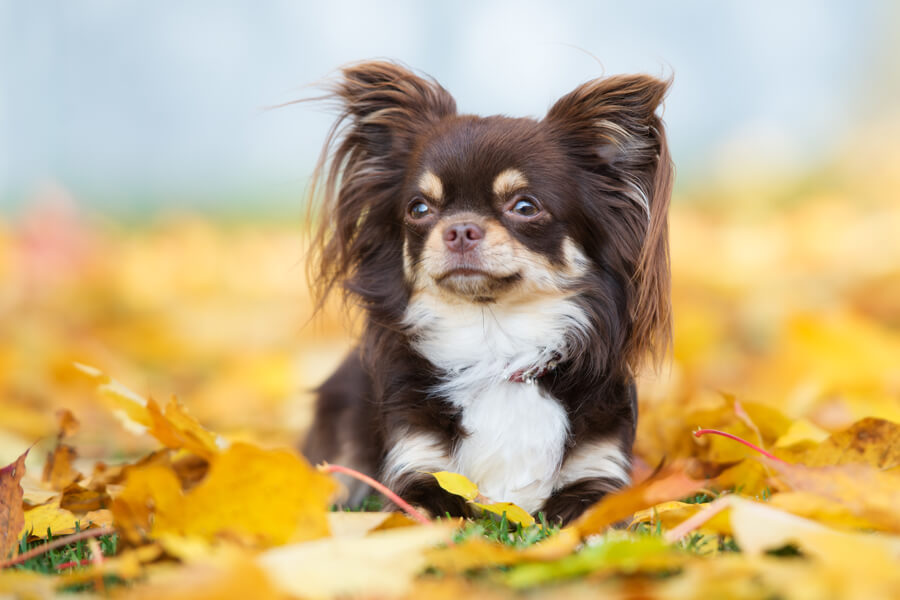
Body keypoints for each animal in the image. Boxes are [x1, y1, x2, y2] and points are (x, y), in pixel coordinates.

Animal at [306, 58, 672, 524]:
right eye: (419, 209)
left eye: (525, 206)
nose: (461, 228)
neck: (496, 346)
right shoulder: (417, 470)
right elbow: (425, 512)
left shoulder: (599, 476)